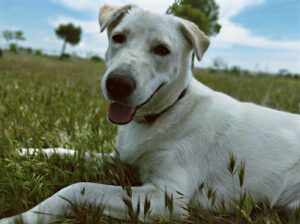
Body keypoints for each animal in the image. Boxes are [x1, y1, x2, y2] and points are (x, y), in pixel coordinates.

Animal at [0, 3, 300, 224]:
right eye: (118, 37)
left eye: (162, 50)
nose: (118, 83)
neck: (166, 112)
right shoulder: (121, 161)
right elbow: (68, 151)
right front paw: (23, 152)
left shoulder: (167, 197)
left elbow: (78, 188)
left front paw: (21, 218)